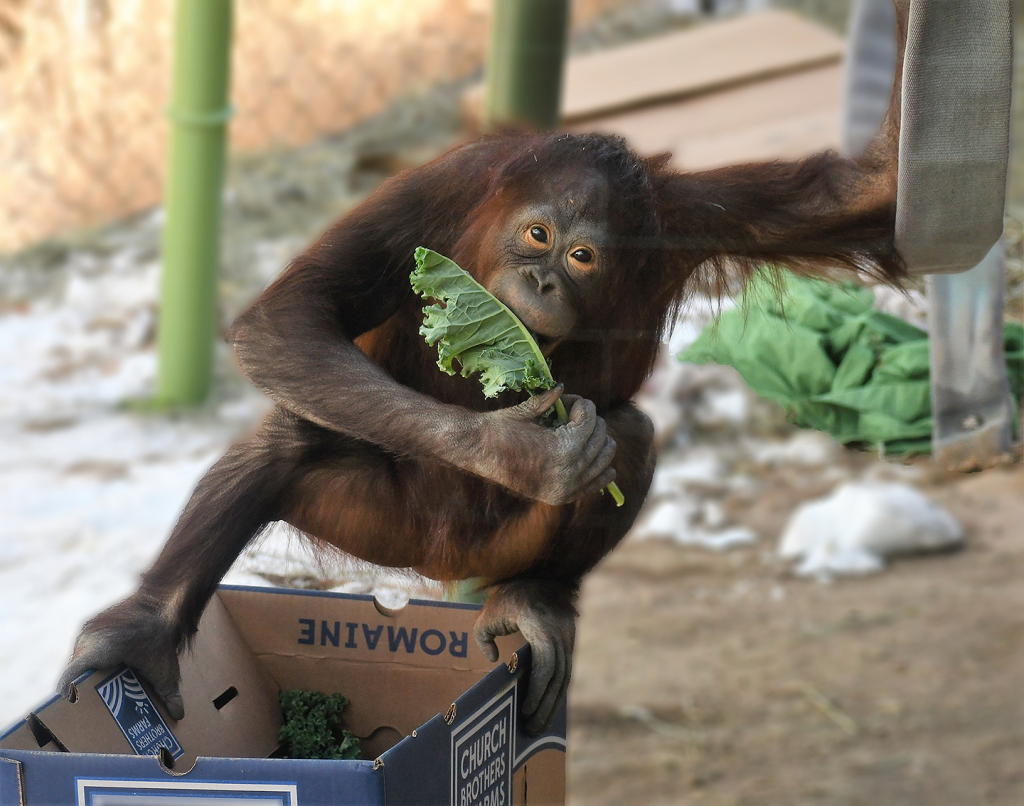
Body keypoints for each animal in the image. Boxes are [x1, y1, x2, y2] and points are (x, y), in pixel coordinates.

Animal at [59, 10, 909, 737]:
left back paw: (535, 598)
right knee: (286, 436)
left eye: (581, 255)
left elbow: (868, 194)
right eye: (536, 235)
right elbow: (291, 314)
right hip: (381, 518)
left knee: (626, 434)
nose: (542, 282)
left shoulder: (700, 214)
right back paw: (143, 636)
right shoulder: (435, 188)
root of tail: (443, 569)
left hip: (497, 546)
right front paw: (516, 452)